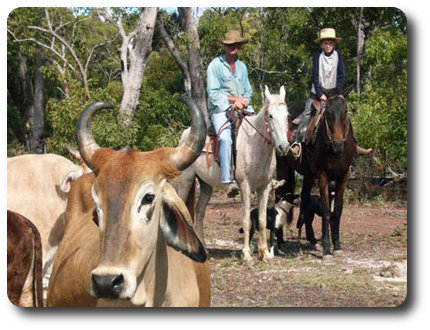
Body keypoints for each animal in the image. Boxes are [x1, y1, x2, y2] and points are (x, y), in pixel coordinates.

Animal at [176, 86, 290, 262]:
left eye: (287, 115)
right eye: (270, 115)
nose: (284, 146)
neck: (254, 146)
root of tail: (186, 134)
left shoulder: (264, 187)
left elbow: (262, 220)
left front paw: (265, 254)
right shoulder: (245, 186)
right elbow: (246, 220)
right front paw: (247, 254)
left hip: (206, 185)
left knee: (200, 212)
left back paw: (204, 250)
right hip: (186, 180)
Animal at [278, 94, 358, 258]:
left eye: (345, 112)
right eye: (328, 113)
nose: (337, 144)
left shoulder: (344, 176)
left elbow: (337, 211)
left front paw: (337, 246)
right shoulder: (322, 176)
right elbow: (326, 210)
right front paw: (327, 250)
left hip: (308, 176)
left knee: (305, 198)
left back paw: (312, 239)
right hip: (281, 171)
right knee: (278, 197)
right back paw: (280, 241)